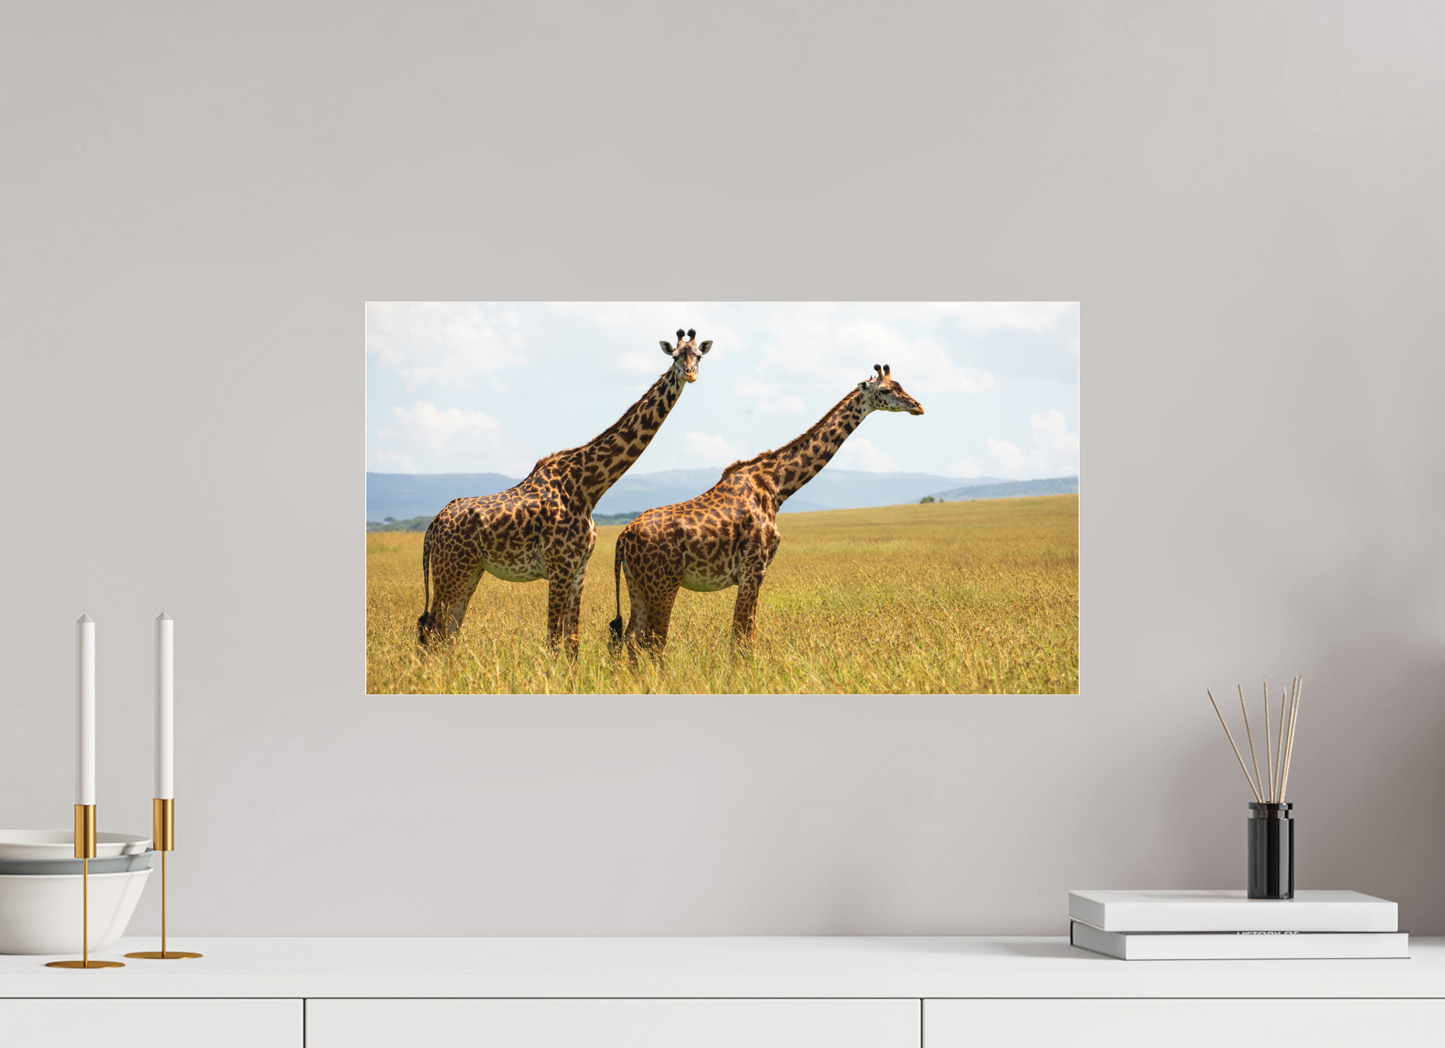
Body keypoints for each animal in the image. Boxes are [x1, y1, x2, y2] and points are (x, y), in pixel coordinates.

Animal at [418, 329, 712, 657]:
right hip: (451, 571)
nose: (690, 373)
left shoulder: (579, 568)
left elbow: (572, 641)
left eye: (698, 356)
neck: (589, 486)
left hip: (469, 570)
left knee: (449, 630)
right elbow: (553, 640)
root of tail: (433, 526)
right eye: (675, 356)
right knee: (433, 630)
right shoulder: (559, 566)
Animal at [609, 364, 924, 656]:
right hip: (663, 583)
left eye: (901, 384)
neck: (776, 487)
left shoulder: (754, 572)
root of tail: (622, 537)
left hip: (636, 583)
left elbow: (745, 634)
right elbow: (742, 639)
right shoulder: (754, 568)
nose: (918, 406)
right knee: (652, 642)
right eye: (885, 390)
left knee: (632, 639)